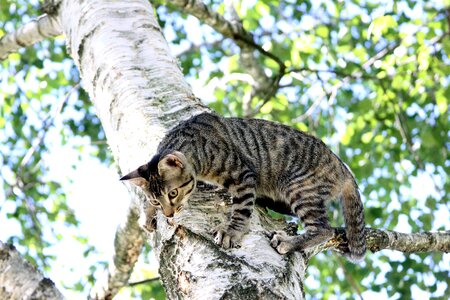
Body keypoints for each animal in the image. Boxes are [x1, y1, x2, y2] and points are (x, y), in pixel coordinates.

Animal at [120, 111, 366, 262]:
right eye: (156, 199)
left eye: (173, 193)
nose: (169, 213)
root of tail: (344, 168)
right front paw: (147, 214)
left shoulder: (243, 175)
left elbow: (241, 209)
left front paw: (231, 231)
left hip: (298, 187)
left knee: (324, 229)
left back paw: (288, 242)